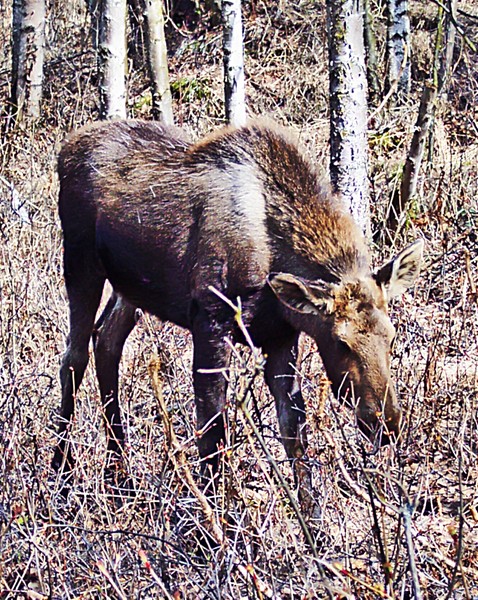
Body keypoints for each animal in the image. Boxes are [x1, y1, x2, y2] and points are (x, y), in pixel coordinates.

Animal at [52, 119, 424, 478]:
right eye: (341, 342)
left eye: (391, 337)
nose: (386, 421)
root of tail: (65, 148)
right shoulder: (211, 322)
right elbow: (213, 434)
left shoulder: (281, 338)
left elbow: (295, 435)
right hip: (80, 262)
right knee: (73, 356)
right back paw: (62, 472)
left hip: (130, 288)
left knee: (106, 340)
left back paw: (120, 474)